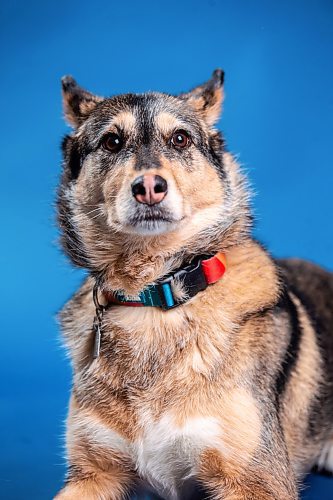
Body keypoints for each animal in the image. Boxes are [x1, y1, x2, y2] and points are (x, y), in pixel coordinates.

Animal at [54, 71, 332, 500]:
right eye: (112, 141)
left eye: (180, 139)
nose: (149, 186)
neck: (154, 297)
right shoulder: (92, 473)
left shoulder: (258, 480)